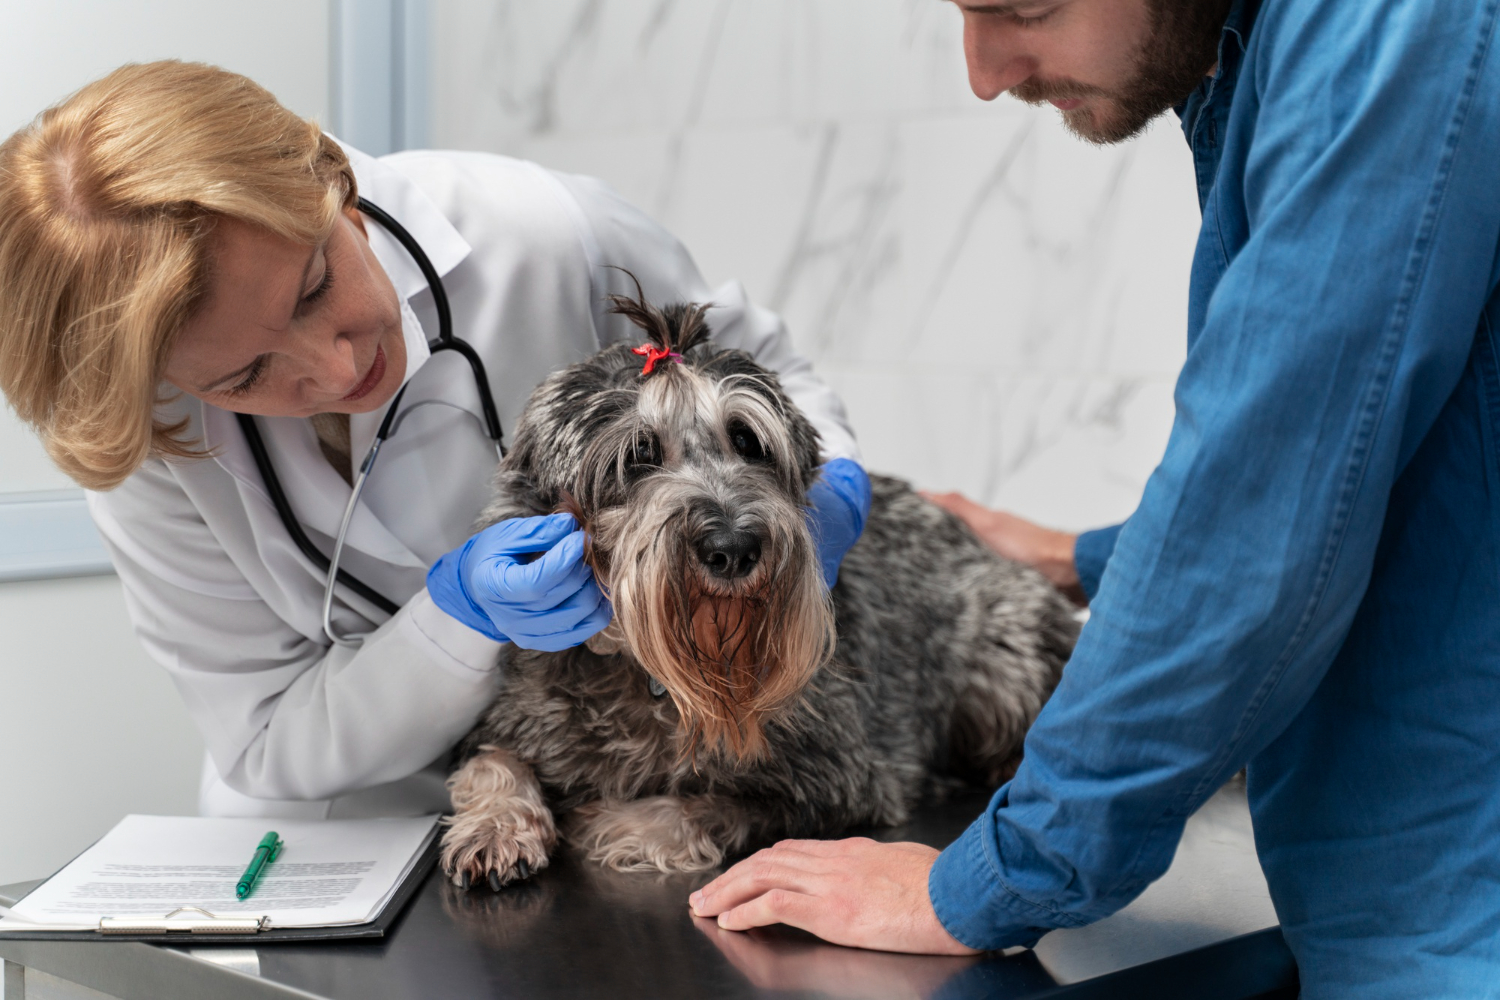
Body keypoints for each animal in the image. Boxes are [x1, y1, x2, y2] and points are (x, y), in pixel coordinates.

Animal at [438, 290, 1086, 893]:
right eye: (639, 454)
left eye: (748, 441)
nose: (735, 547)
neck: (654, 676)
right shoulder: (505, 721)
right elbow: (492, 765)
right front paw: (494, 828)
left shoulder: (837, 780)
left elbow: (695, 807)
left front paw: (612, 822)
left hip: (1004, 655)